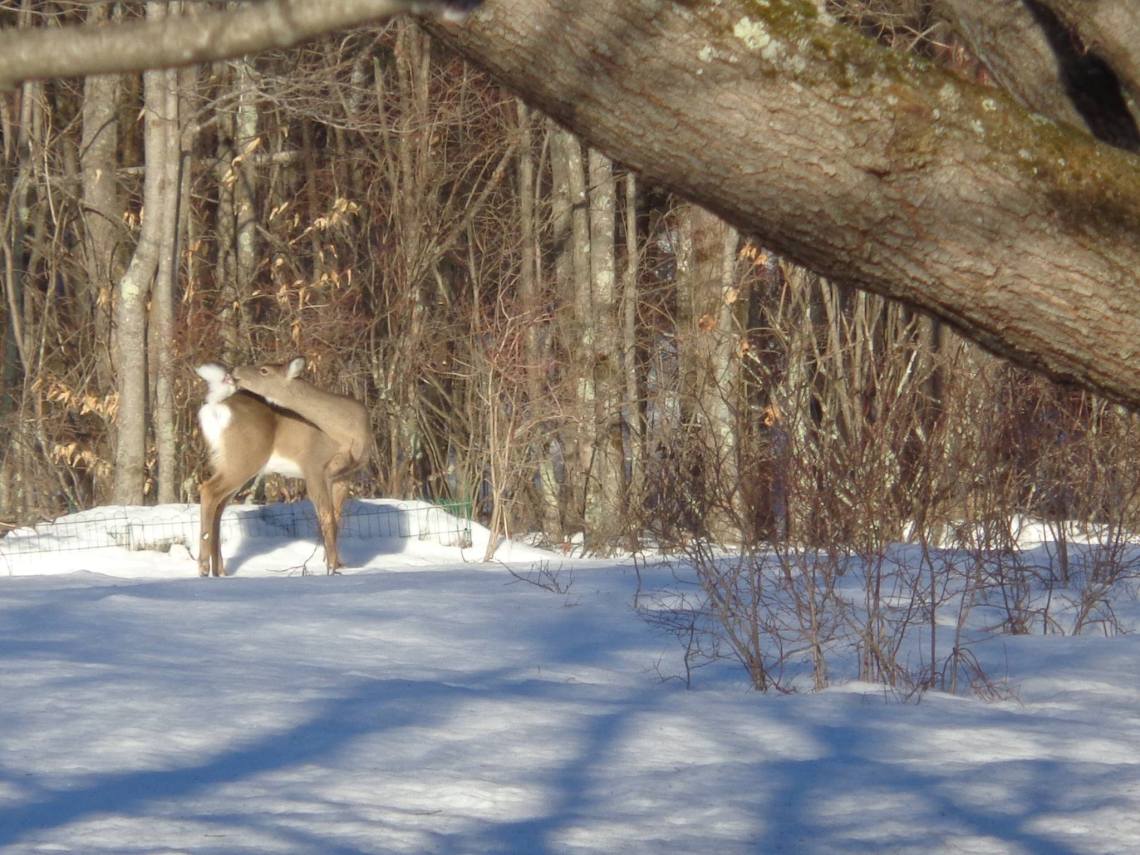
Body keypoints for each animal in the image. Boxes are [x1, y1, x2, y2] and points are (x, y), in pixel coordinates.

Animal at [194, 359, 367, 577]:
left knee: (218, 506)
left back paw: (219, 571)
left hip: (227, 461)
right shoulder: (314, 466)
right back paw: (203, 567)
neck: (348, 431)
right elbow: (326, 518)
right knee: (208, 490)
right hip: (244, 457)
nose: (235, 370)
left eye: (264, 370)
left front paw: (339, 564)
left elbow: (337, 518)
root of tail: (216, 405)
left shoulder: (345, 475)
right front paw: (331, 568)